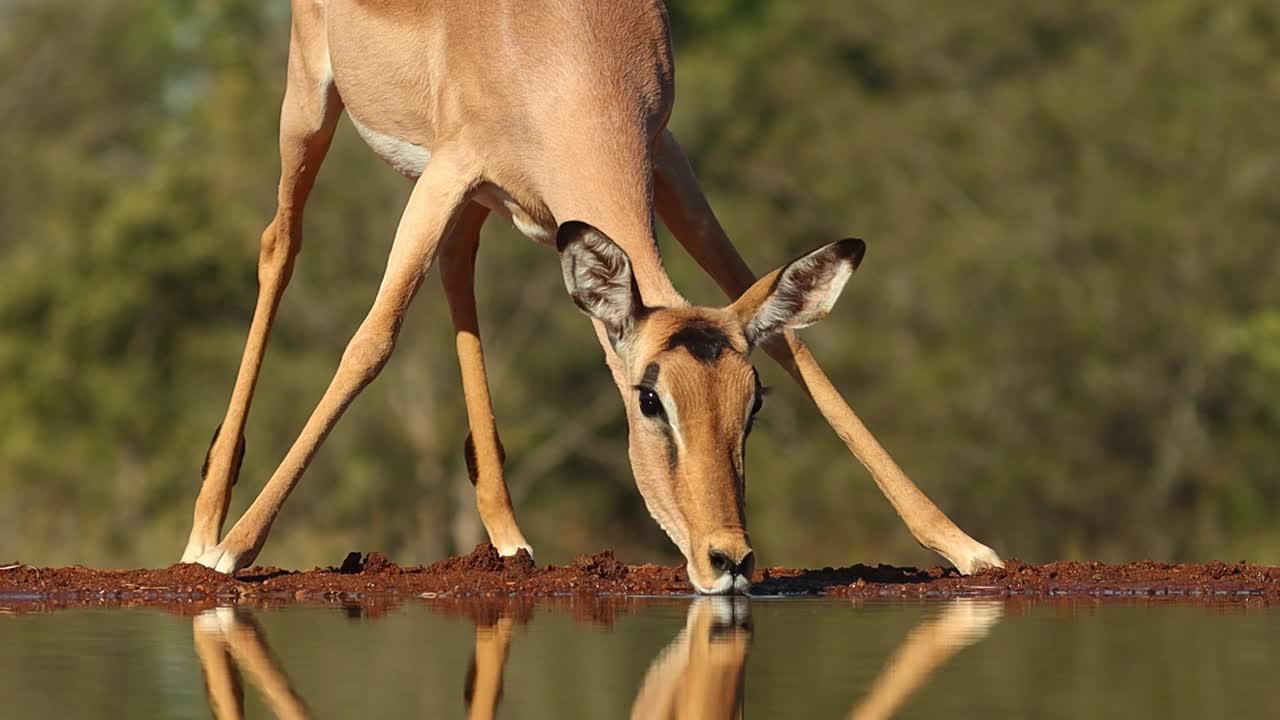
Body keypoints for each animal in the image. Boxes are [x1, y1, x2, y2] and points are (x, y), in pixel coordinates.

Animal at [181, 0, 1004, 594]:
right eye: (650, 399)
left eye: (753, 403)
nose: (730, 560)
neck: (555, 43)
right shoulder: (448, 169)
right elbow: (372, 341)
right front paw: (234, 552)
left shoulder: (664, 155)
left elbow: (791, 343)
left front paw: (967, 548)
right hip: (309, 105)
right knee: (279, 247)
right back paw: (205, 531)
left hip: (474, 200)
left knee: (456, 267)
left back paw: (509, 538)